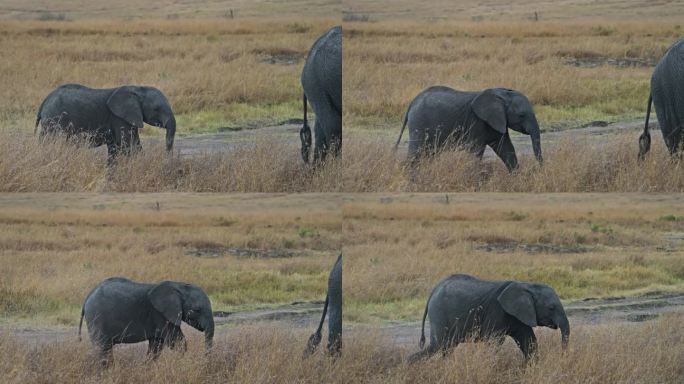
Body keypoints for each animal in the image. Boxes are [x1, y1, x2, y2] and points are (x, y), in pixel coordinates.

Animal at [79, 278, 215, 364]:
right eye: (197, 310)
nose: (205, 360)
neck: (178, 286)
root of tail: (87, 298)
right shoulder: (161, 315)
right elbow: (177, 342)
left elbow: (156, 344)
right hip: (97, 318)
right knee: (103, 348)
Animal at [408, 272, 568, 364]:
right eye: (551, 308)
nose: (562, 356)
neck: (527, 286)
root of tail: (434, 289)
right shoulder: (497, 312)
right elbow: (494, 342)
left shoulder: (518, 315)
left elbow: (529, 341)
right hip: (440, 312)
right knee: (438, 345)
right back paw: (408, 364)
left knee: (447, 347)